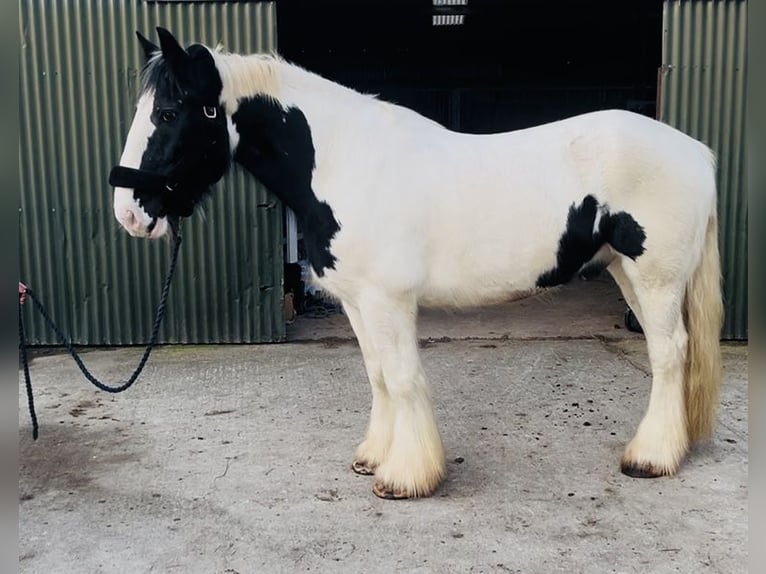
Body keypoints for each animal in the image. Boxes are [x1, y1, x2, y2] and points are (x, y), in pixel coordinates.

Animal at [110, 27, 723, 499]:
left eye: (167, 111)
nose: (128, 214)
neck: (344, 161)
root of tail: (696, 151)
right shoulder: (358, 302)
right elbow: (378, 375)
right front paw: (373, 457)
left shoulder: (388, 300)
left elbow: (403, 379)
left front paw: (406, 477)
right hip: (625, 271)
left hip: (656, 277)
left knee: (670, 352)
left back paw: (651, 457)